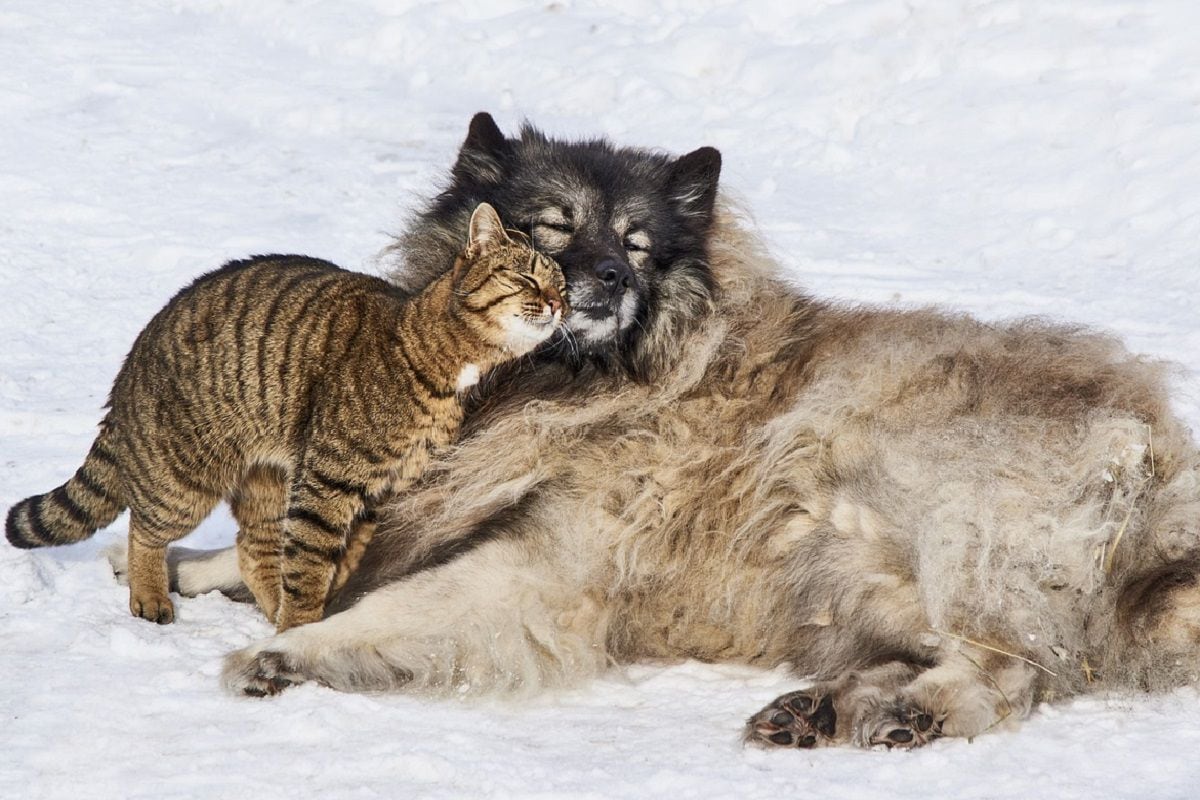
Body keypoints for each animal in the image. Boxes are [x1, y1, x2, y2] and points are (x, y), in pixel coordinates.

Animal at [5, 203, 566, 633]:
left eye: (561, 284)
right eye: (525, 277)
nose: (559, 304)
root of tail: (129, 366)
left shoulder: (377, 492)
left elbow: (337, 560)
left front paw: (305, 616)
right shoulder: (327, 482)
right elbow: (311, 563)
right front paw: (297, 627)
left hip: (267, 480)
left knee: (252, 546)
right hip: (185, 479)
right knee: (145, 529)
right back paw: (151, 596)